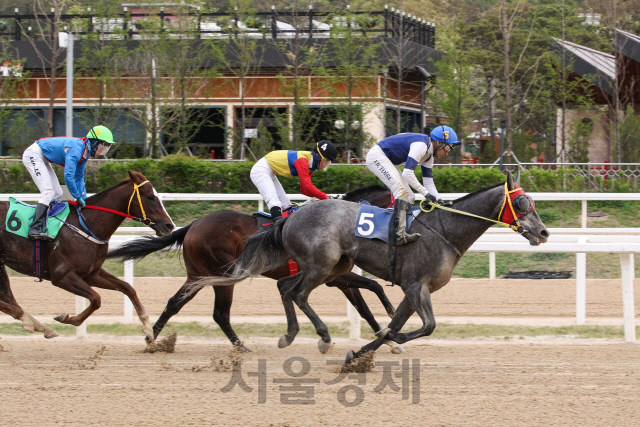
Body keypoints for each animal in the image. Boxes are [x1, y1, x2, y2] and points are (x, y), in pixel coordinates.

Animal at [0, 171, 175, 342]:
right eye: (150, 197)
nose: (169, 225)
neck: (87, 225)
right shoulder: (62, 276)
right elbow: (96, 298)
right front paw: (67, 318)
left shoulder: (91, 273)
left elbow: (128, 288)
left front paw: (148, 329)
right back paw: (29, 321)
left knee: (9, 298)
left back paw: (41, 327)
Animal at [107, 186, 400, 352]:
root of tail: (193, 225)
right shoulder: (333, 275)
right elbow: (371, 287)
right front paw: (390, 322)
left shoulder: (337, 277)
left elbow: (363, 305)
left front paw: (388, 338)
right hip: (222, 274)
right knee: (220, 314)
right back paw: (241, 347)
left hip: (197, 275)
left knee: (174, 303)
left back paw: (151, 340)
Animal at [190, 171, 552, 362]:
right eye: (523, 202)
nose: (544, 232)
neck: (446, 229)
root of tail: (288, 220)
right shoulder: (416, 286)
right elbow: (424, 325)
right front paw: (386, 340)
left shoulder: (414, 289)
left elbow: (398, 322)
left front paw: (363, 352)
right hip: (322, 266)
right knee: (297, 294)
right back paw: (321, 337)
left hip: (334, 268)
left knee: (286, 289)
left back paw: (290, 335)